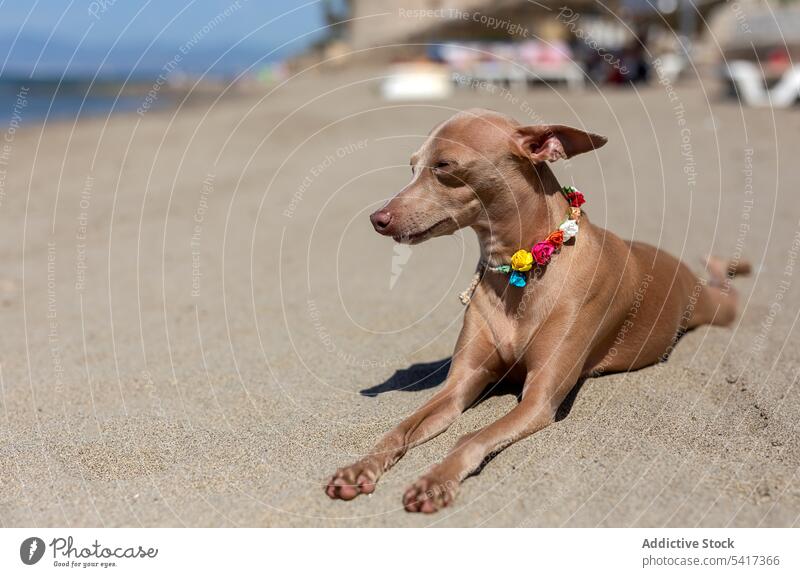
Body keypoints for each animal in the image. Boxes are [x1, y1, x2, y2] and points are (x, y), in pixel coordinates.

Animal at [324, 108, 744, 512]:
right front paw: (359, 468)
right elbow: (402, 426)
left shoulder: (540, 398)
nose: (377, 219)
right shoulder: (460, 384)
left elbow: (470, 437)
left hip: (713, 306)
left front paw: (435, 481)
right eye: (412, 166)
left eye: (444, 165)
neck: (521, 270)